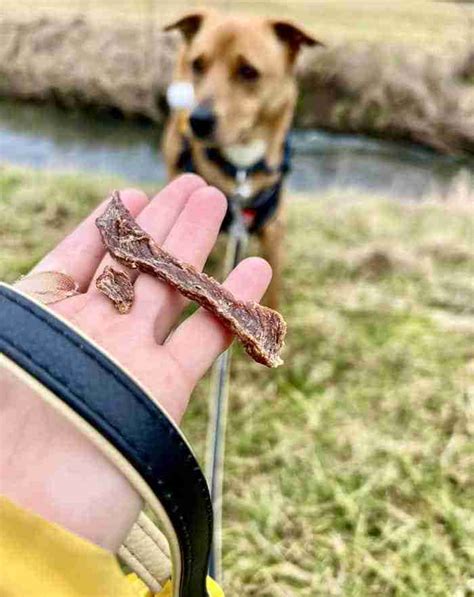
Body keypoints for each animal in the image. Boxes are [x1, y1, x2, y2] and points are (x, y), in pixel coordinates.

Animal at [163, 12, 322, 308]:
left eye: (249, 71)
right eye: (198, 64)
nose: (198, 121)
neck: (242, 167)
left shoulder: (274, 234)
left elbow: (273, 291)